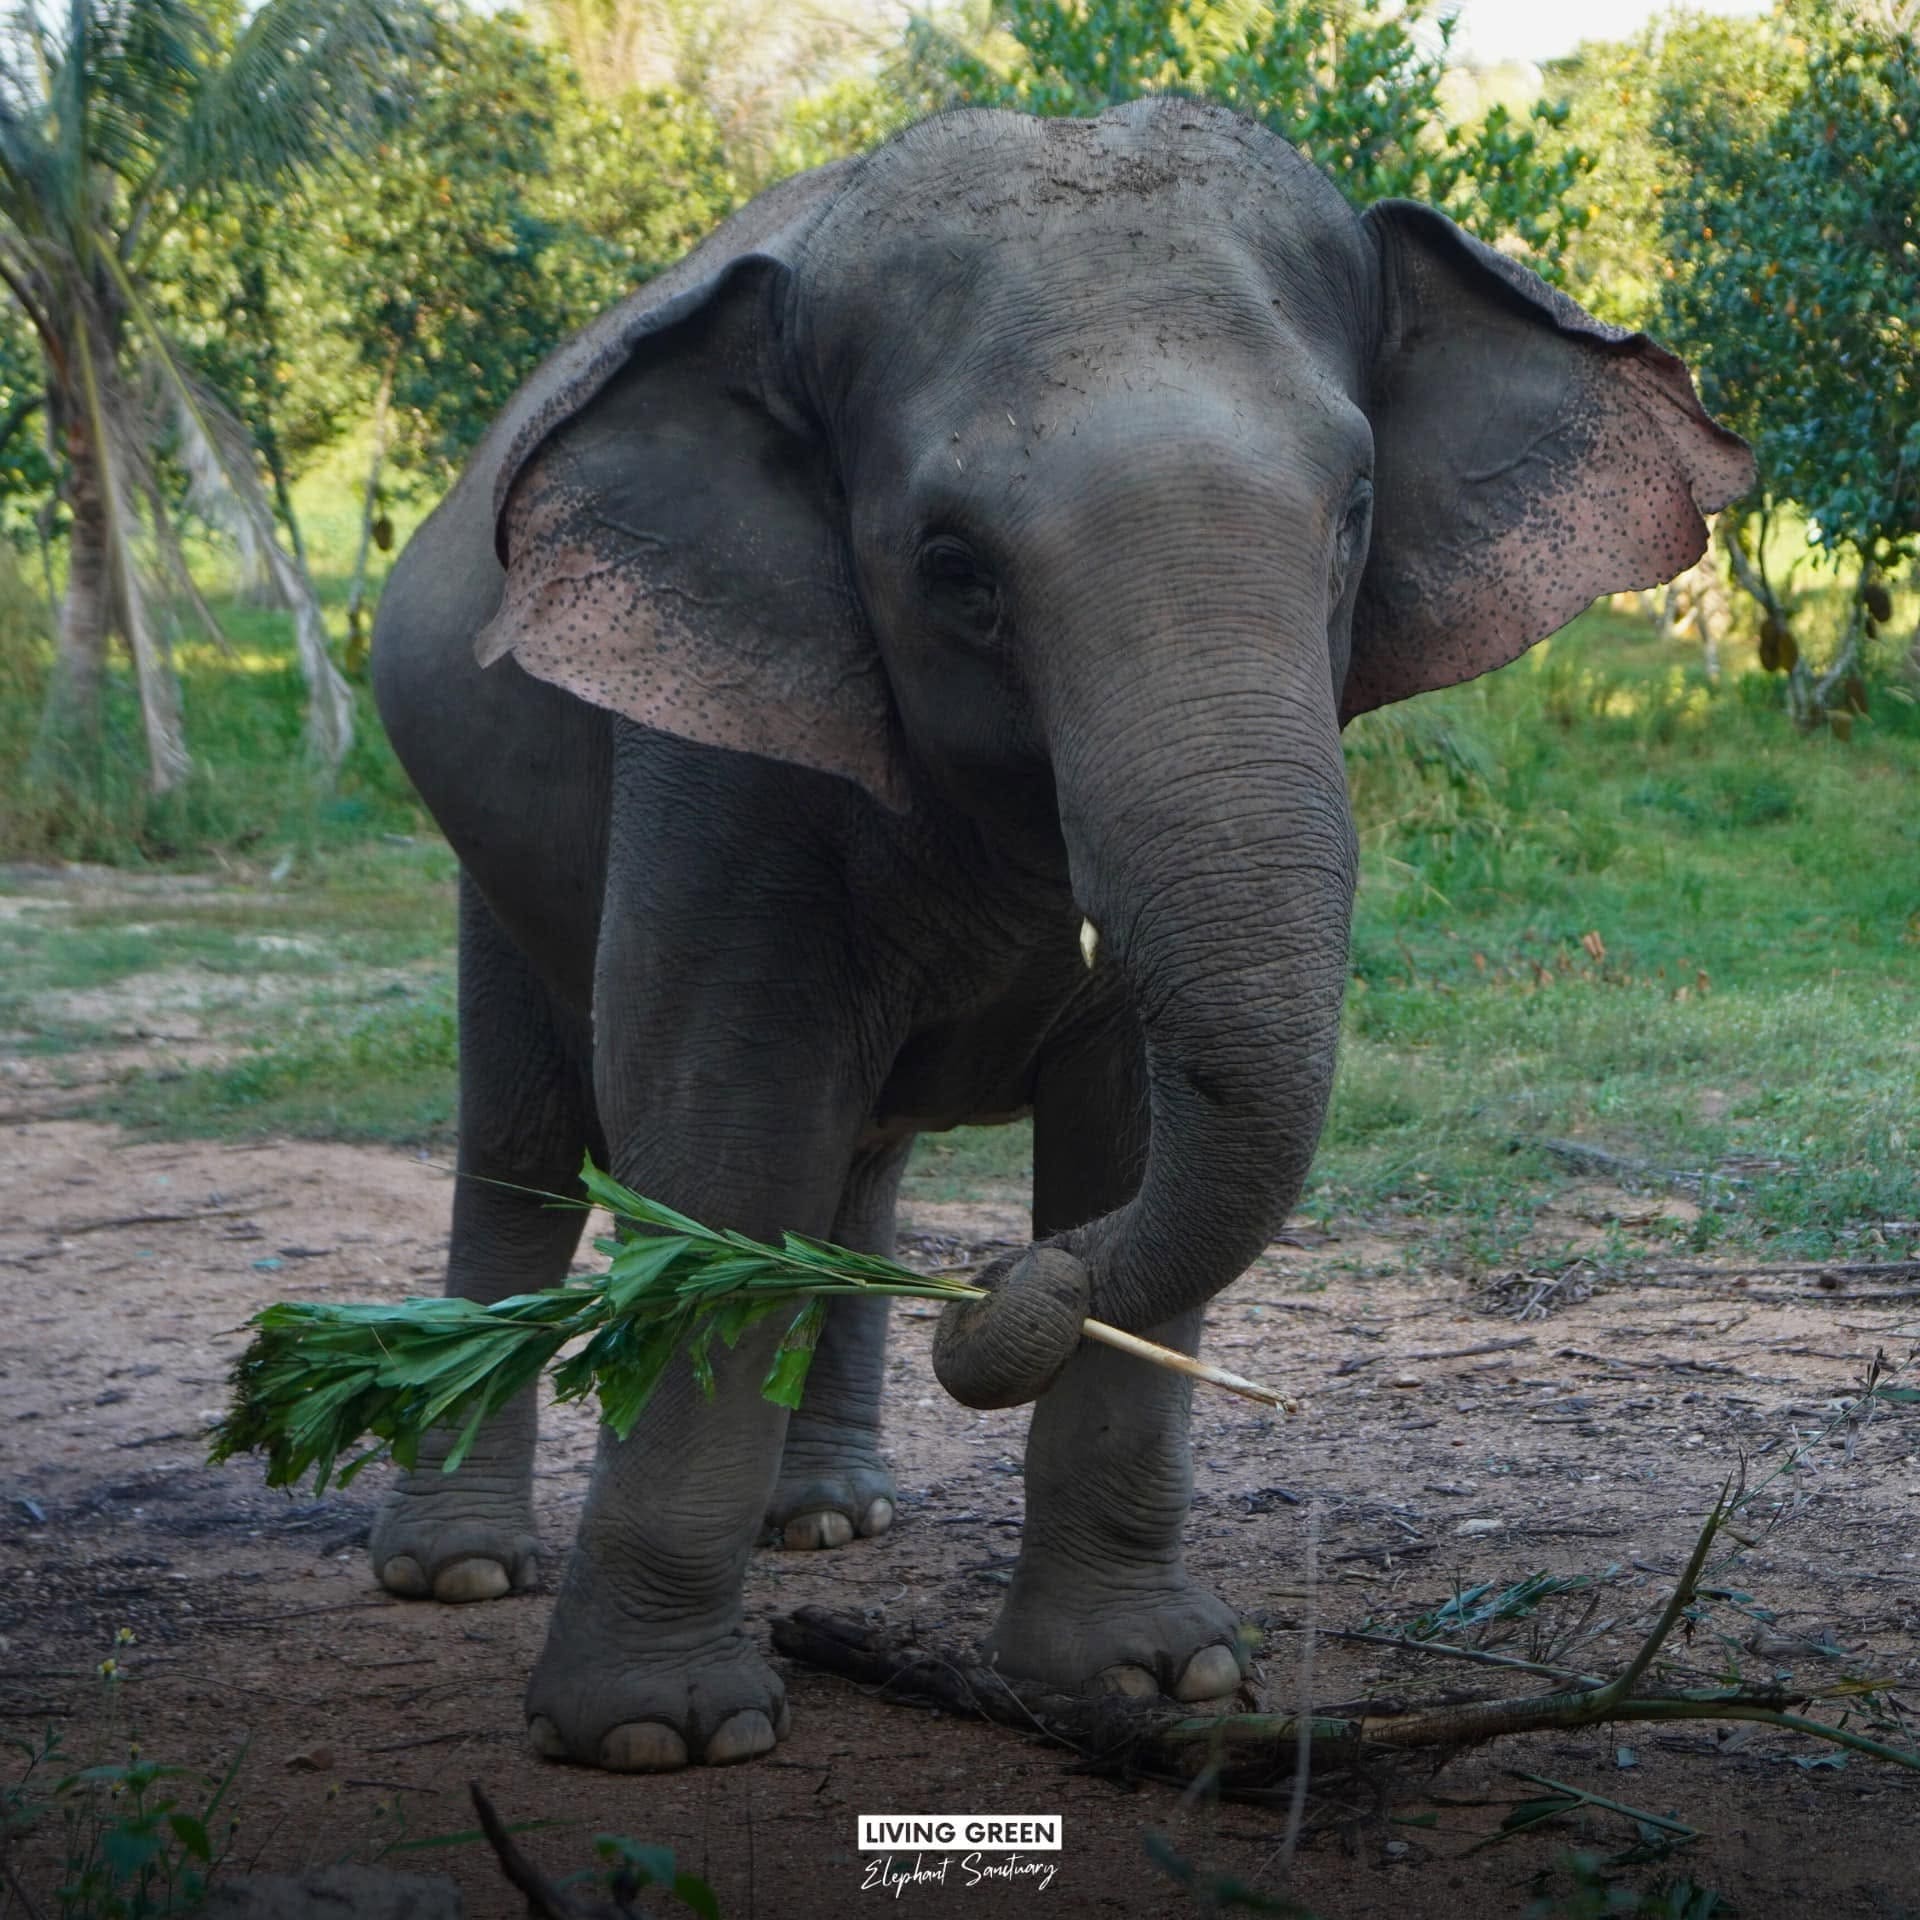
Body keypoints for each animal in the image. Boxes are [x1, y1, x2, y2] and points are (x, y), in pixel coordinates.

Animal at [368, 97, 1752, 1774]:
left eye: (1354, 514)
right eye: (951, 566)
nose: (994, 1308)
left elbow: (1127, 1134)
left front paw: (1151, 1680)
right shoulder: (710, 752)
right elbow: (720, 1140)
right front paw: (657, 1735)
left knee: (857, 1167)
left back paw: (825, 1522)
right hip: (484, 849)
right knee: (525, 1141)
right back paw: (458, 1570)